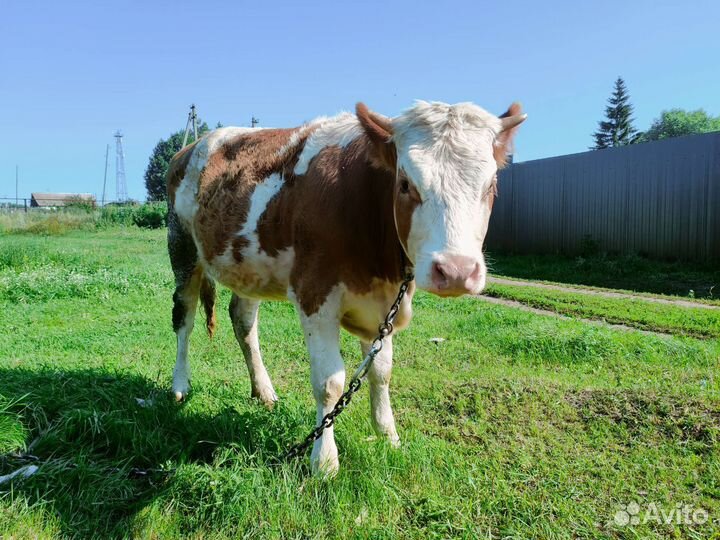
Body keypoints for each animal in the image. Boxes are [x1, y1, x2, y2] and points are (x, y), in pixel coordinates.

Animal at [166, 100, 526, 475]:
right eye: (405, 184)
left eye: (491, 184)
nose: (456, 271)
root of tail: (194, 145)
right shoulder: (315, 295)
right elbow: (330, 382)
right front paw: (324, 461)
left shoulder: (382, 305)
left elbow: (380, 372)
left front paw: (387, 436)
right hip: (181, 245)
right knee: (184, 319)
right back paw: (180, 385)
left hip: (248, 267)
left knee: (243, 321)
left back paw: (263, 391)